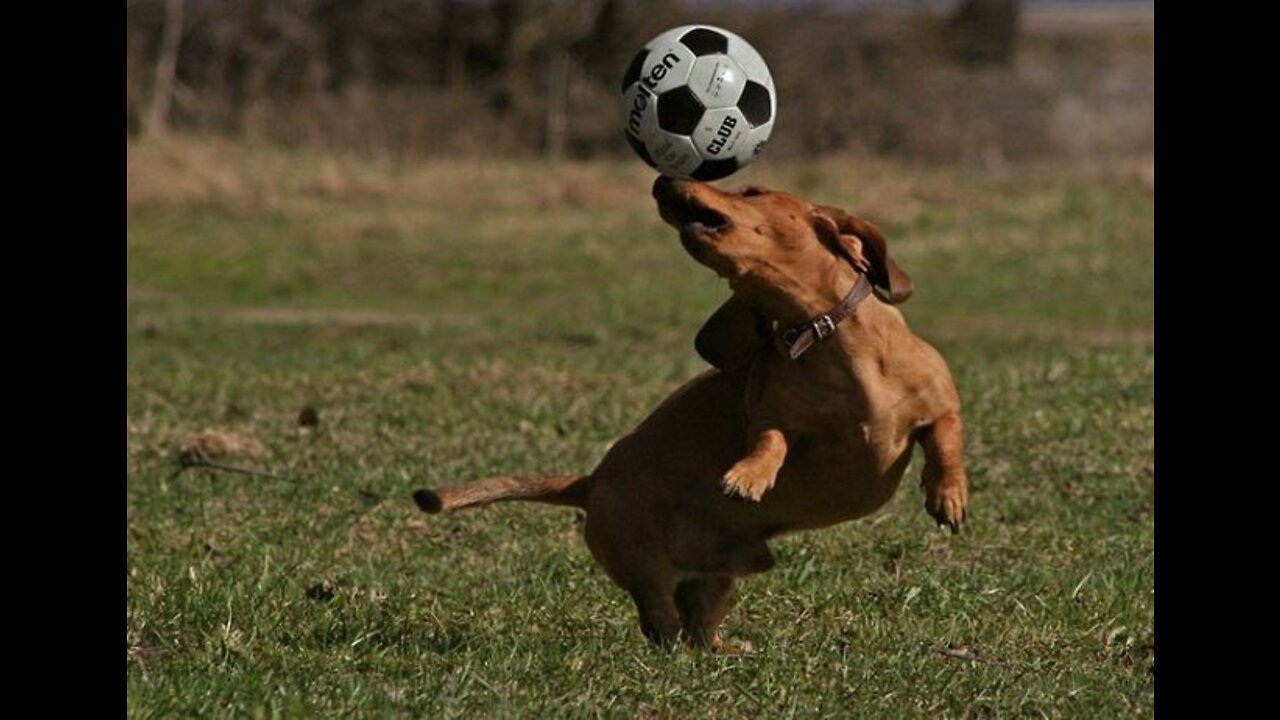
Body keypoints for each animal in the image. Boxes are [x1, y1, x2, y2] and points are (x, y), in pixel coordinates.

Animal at [414, 178, 962, 645]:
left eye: (752, 190)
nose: (662, 180)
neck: (826, 335)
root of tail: (590, 482)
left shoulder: (941, 407)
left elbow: (945, 439)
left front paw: (948, 496)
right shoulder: (776, 419)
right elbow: (771, 438)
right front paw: (748, 476)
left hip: (715, 580)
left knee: (698, 629)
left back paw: (728, 649)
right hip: (643, 564)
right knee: (663, 625)